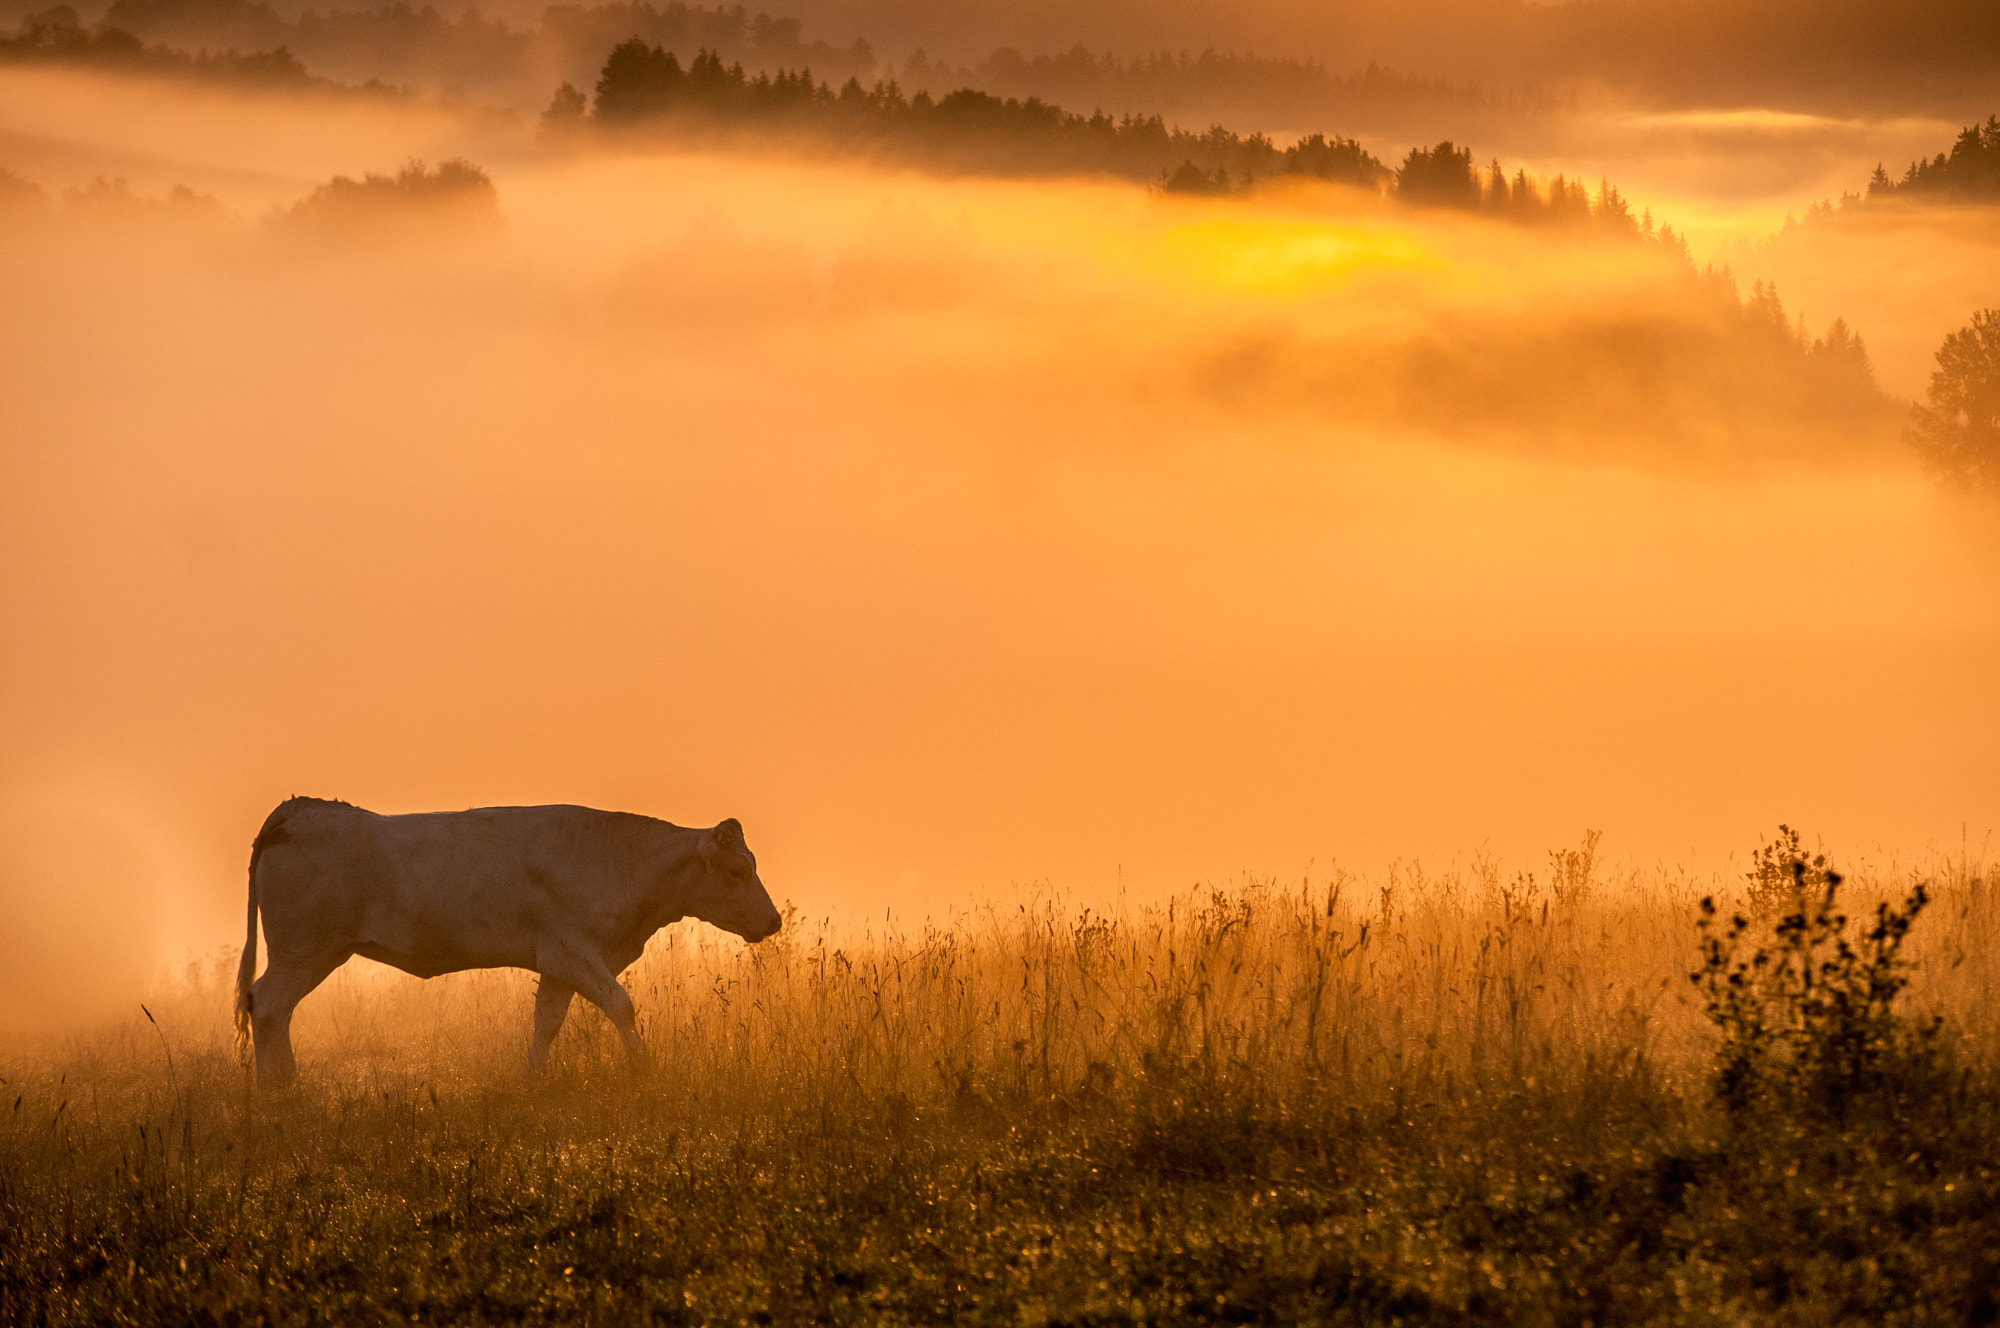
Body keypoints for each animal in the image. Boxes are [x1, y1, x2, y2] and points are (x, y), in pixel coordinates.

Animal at [234, 792, 780, 1088]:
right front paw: (644, 1068)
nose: (774, 921)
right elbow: (621, 1005)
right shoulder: (575, 951)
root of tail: (300, 809)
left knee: (274, 1010)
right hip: (304, 951)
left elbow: (547, 1023)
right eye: (736, 870)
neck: (618, 858)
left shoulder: (558, 963)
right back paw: (278, 1088)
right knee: (268, 1005)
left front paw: (534, 1079)